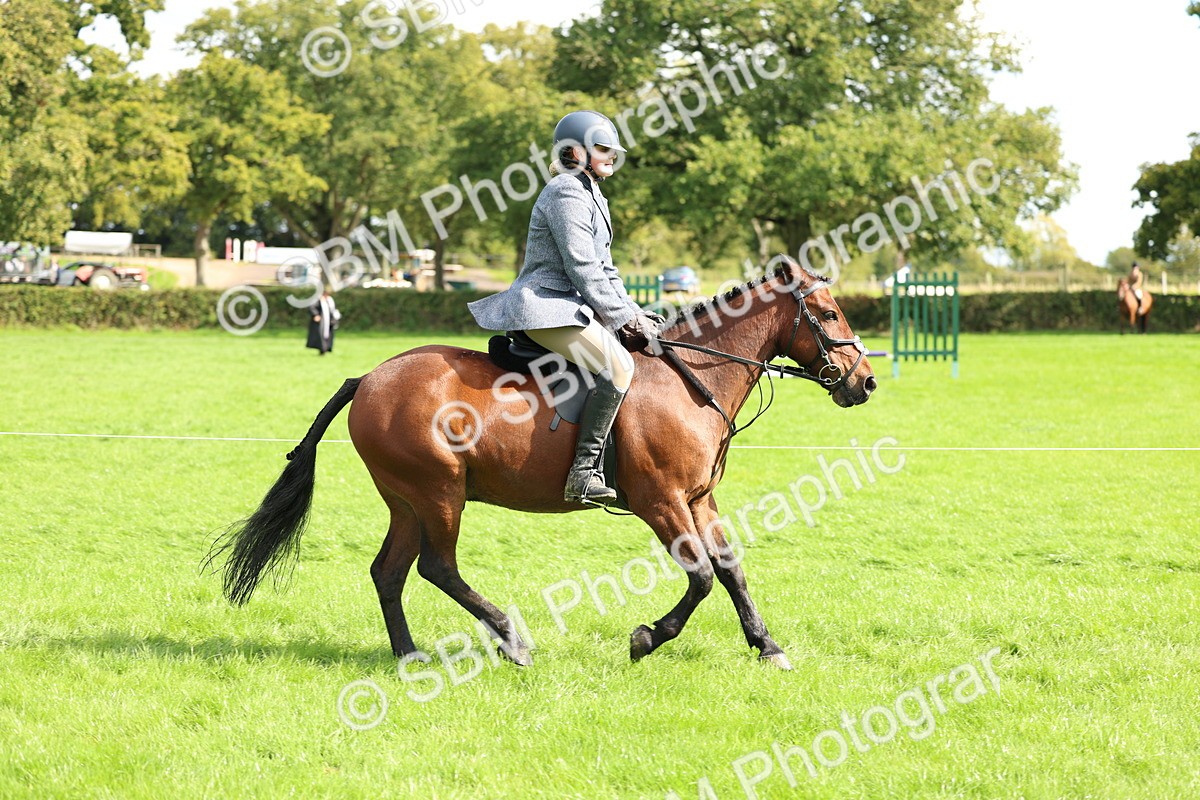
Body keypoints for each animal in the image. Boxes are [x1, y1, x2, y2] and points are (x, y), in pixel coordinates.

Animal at [208, 257, 876, 670]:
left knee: (389, 572)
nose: (865, 383)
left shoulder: (697, 499)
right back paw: (511, 641)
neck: (692, 380)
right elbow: (702, 577)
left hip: (406, 500)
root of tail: (369, 377)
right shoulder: (661, 501)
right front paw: (646, 639)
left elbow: (731, 570)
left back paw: (409, 655)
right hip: (439, 493)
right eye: (831, 315)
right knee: (436, 568)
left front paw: (768, 647)